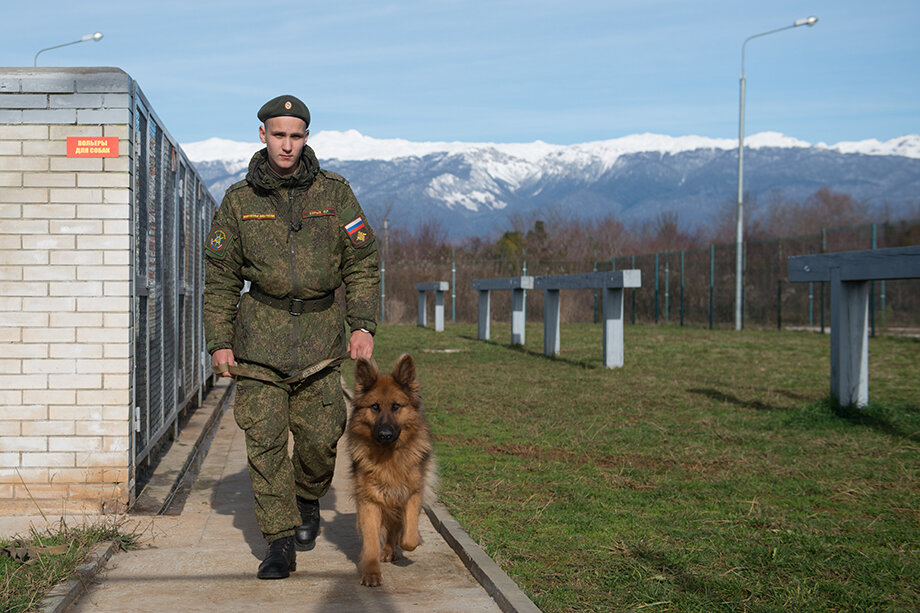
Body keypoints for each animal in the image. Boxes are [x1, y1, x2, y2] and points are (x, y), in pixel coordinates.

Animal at [344, 352, 434, 584]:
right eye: (375, 407)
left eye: (396, 406)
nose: (385, 434)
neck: (388, 455)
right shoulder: (370, 500)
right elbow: (371, 540)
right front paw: (371, 572)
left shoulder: (411, 492)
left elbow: (409, 536)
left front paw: (409, 542)